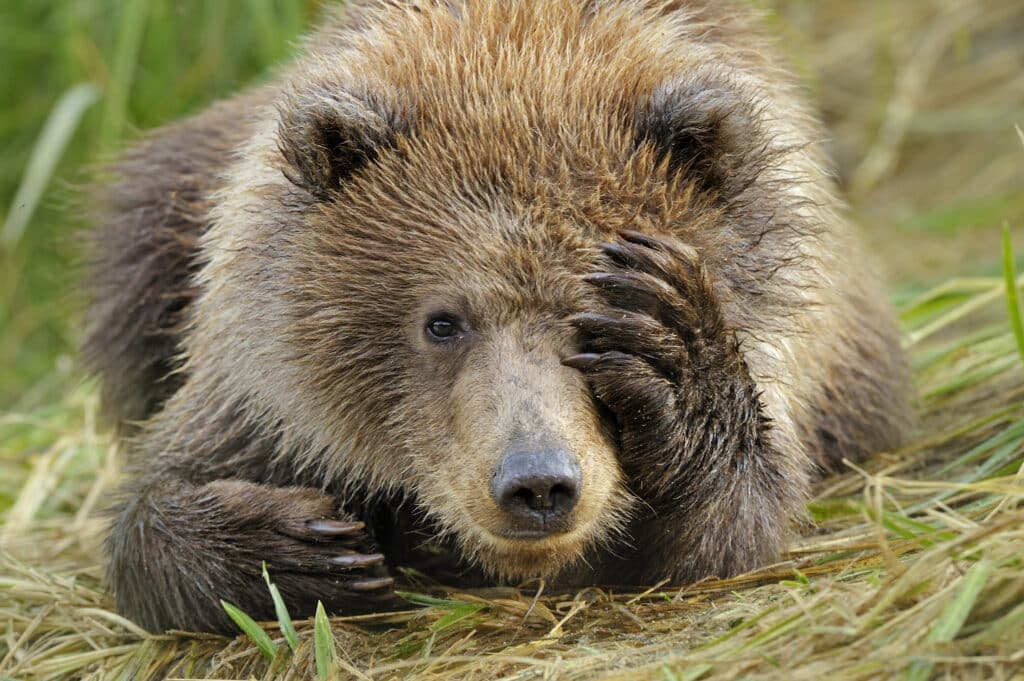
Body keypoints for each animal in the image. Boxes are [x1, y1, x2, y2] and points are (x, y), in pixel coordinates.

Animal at [84, 0, 910, 634]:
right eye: (442, 320)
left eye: (591, 314)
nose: (537, 482)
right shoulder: (259, 380)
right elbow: (157, 500)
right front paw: (299, 545)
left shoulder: (793, 346)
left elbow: (735, 528)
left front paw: (670, 353)